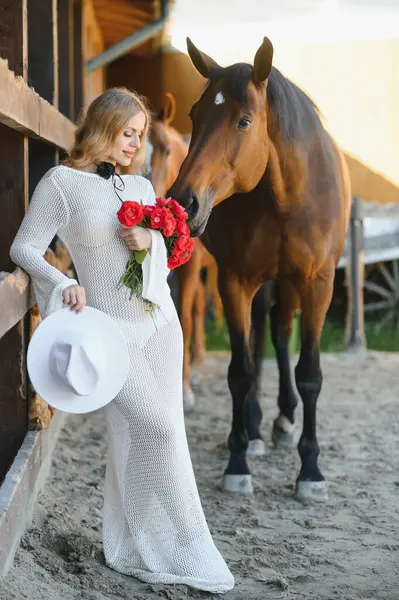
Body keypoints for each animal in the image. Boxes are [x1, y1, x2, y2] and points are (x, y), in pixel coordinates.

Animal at [170, 37, 352, 502]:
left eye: (244, 121)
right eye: (195, 114)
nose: (184, 201)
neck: (286, 195)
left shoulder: (318, 284)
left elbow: (309, 373)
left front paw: (311, 470)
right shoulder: (235, 280)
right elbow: (241, 370)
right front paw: (238, 463)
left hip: (287, 284)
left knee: (280, 334)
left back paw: (284, 420)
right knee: (257, 338)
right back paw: (253, 430)